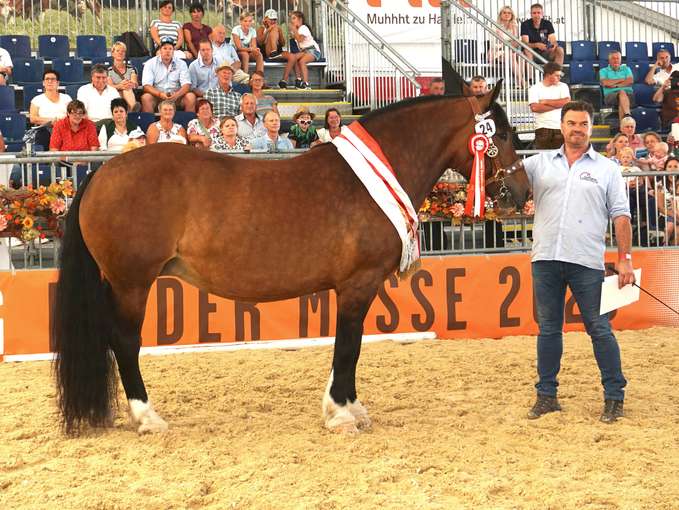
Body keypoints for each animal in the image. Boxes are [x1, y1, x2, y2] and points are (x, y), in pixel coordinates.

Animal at [54, 82, 532, 434]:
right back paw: (147, 417)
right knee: (124, 342)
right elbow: (349, 345)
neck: (372, 179)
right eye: (502, 135)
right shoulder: (358, 283)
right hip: (131, 283)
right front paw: (342, 414)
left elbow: (348, 346)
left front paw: (348, 407)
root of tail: (102, 172)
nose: (522, 193)